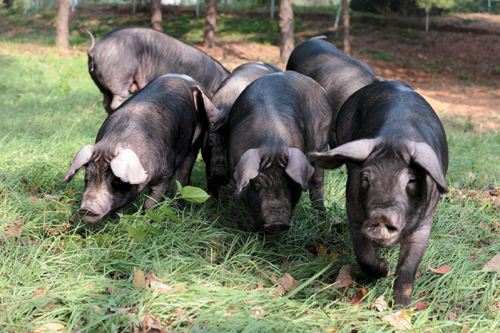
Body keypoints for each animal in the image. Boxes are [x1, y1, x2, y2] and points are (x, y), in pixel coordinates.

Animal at [60, 74, 215, 222]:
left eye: (116, 181)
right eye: (87, 177)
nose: (86, 209)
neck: (113, 142)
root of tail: (190, 80)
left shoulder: (165, 174)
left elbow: (151, 202)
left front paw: (148, 219)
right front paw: (117, 221)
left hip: (196, 140)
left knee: (183, 175)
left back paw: (177, 207)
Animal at [83, 26, 229, 114]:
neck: (214, 82)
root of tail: (93, 49)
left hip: (104, 86)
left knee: (106, 103)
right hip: (119, 76)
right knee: (117, 100)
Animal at [229, 71, 332, 232]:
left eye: (289, 183)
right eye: (257, 184)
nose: (277, 223)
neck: (272, 144)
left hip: (321, 138)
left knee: (317, 181)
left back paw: (321, 219)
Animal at [308, 80, 450, 306]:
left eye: (411, 180)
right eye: (366, 178)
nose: (382, 215)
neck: (396, 137)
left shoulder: (425, 224)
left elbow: (408, 269)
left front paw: (401, 308)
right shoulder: (354, 211)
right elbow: (364, 255)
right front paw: (385, 269)